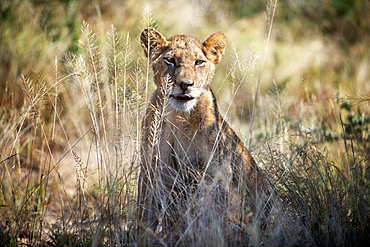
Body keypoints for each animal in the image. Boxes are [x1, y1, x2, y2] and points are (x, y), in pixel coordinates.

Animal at [137, 27, 264, 245]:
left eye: (199, 62)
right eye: (170, 60)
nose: (185, 84)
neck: (178, 117)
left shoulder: (217, 174)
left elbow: (214, 215)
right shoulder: (151, 170)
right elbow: (146, 214)